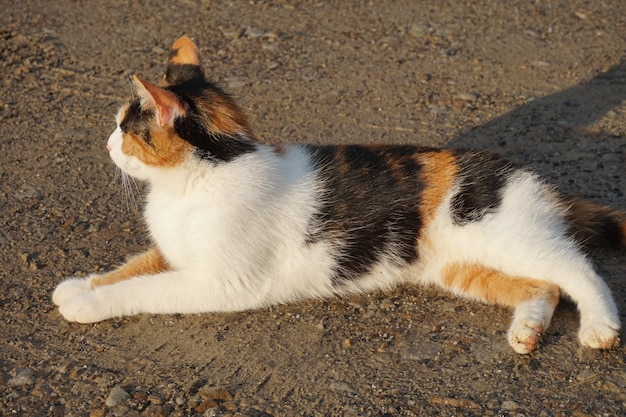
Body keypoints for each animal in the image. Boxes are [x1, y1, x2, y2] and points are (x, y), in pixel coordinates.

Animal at [51, 36, 620, 354]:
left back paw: (600, 329)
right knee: (543, 287)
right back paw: (526, 333)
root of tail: (528, 176)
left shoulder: (221, 282)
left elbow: (144, 288)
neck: (195, 182)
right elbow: (133, 266)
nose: (106, 144)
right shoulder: (175, 253)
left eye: (125, 129)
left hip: (511, 236)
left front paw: (89, 304)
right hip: (463, 266)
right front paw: (80, 286)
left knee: (580, 270)